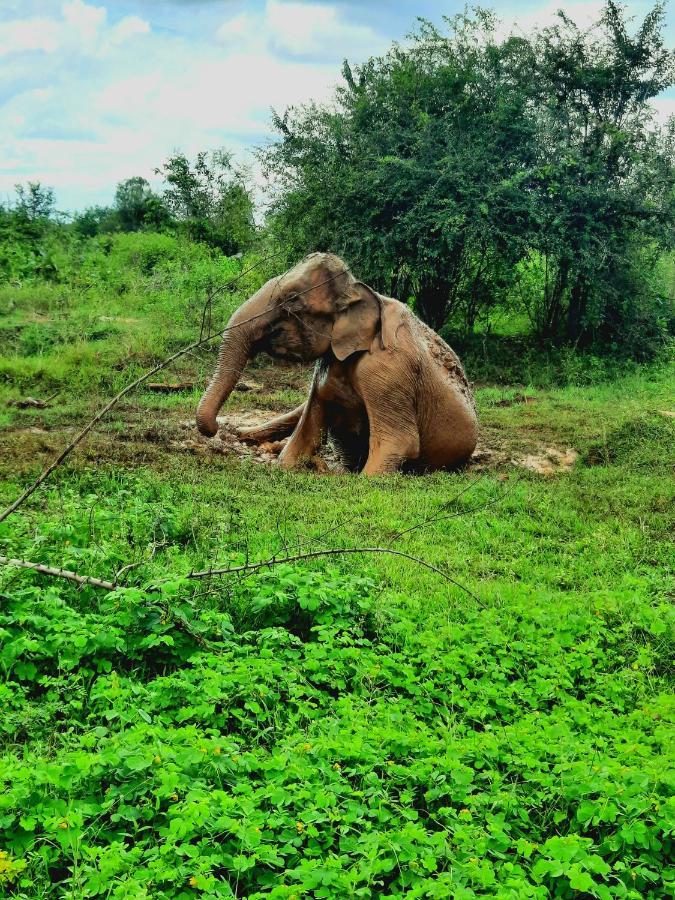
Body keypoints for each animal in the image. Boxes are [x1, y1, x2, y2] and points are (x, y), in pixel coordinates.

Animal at [195, 253, 478, 474]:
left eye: (292, 299)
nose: (215, 427)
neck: (360, 288)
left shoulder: (387, 370)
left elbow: (401, 441)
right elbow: (307, 430)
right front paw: (284, 462)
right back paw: (242, 434)